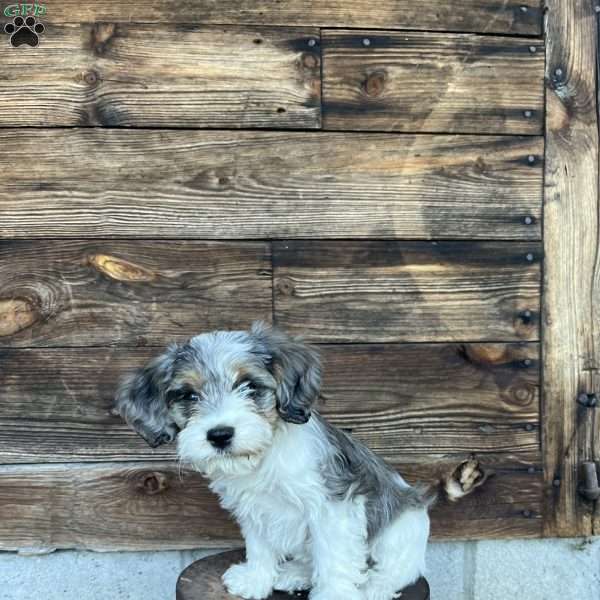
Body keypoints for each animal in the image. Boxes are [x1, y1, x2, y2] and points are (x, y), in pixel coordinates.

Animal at [115, 324, 436, 600]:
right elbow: (259, 547)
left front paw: (334, 595)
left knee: (396, 572)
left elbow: (334, 558)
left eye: (249, 386)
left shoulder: (332, 508)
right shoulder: (254, 508)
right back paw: (296, 574)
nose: (219, 434)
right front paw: (256, 580)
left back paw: (372, 588)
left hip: (401, 532)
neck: (264, 456)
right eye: (189, 395)